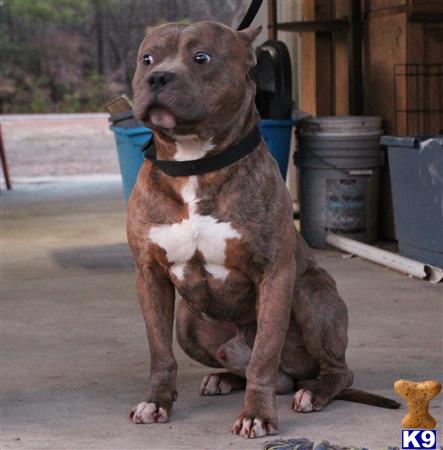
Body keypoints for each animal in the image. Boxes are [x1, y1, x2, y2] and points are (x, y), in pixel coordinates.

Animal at [127, 21, 398, 440]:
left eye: (201, 57)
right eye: (147, 59)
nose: (158, 77)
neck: (193, 164)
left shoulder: (276, 273)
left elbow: (264, 356)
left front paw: (256, 414)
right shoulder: (149, 273)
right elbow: (159, 351)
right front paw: (156, 402)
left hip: (310, 295)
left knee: (331, 371)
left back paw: (314, 392)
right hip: (188, 322)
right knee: (254, 367)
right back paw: (223, 378)